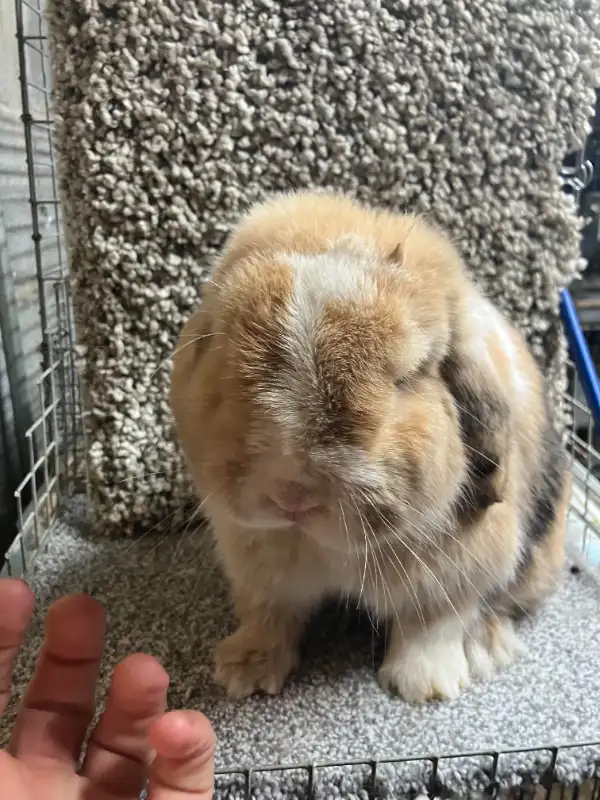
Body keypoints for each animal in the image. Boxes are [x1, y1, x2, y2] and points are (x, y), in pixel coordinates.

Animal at [170, 190, 569, 703]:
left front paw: (424, 686)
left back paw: (484, 647)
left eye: (410, 374)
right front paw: (244, 674)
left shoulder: (458, 573)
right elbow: (269, 614)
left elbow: (432, 624)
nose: (292, 493)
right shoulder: (257, 567)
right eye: (221, 342)